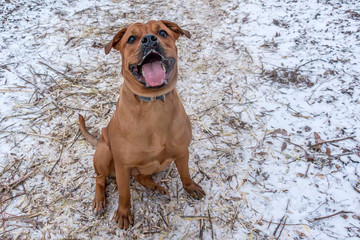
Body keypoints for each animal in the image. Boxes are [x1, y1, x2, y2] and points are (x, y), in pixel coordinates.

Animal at [79, 20, 205, 229]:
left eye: (162, 33)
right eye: (131, 38)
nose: (149, 39)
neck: (153, 105)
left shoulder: (181, 152)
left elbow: (185, 173)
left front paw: (191, 187)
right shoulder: (122, 165)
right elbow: (124, 193)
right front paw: (123, 213)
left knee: (141, 176)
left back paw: (155, 187)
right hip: (104, 151)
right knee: (100, 178)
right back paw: (99, 199)